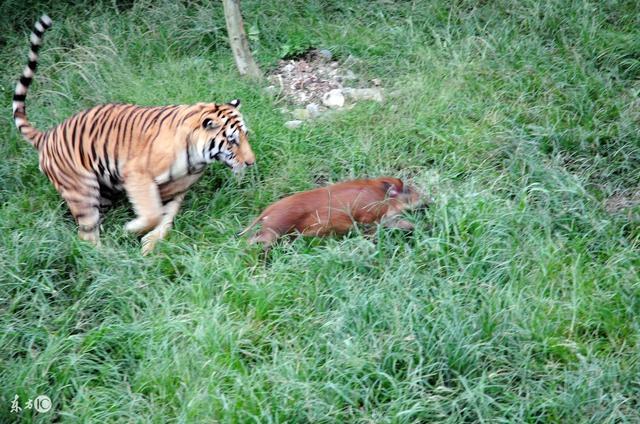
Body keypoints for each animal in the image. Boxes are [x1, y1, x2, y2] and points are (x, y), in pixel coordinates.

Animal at [11, 14, 255, 255]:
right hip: (81, 189)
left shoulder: (176, 188)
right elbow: (153, 213)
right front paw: (131, 230)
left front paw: (150, 244)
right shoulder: (138, 175)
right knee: (87, 233)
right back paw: (104, 256)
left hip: (103, 191)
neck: (197, 159)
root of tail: (47, 135)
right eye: (232, 141)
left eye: (245, 136)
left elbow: (166, 216)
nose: (251, 162)